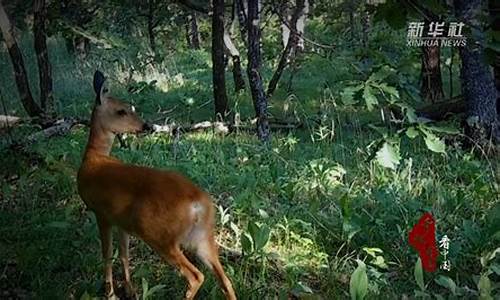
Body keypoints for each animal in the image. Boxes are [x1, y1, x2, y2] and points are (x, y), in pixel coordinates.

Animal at [76, 71, 236, 300]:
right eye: (121, 111)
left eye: (129, 107)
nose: (146, 126)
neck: (94, 157)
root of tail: (198, 203)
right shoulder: (120, 221)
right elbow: (124, 254)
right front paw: (129, 290)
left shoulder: (101, 213)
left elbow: (107, 255)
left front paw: (110, 293)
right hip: (202, 236)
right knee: (225, 281)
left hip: (159, 235)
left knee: (196, 276)